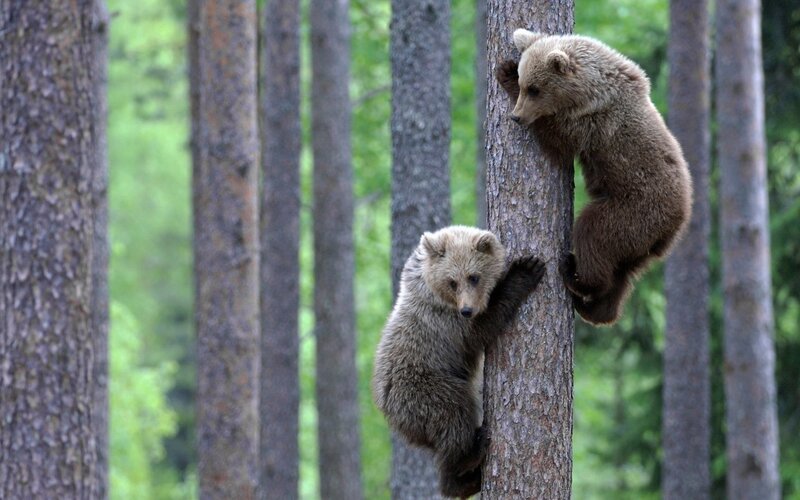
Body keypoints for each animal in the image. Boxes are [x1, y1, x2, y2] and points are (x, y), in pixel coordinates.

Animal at [372, 225, 545, 498]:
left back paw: (467, 479)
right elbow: (483, 328)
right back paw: (470, 455)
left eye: (473, 277)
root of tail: (386, 408)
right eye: (452, 281)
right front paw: (525, 269)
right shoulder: (447, 324)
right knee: (454, 413)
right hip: (424, 388)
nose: (466, 310)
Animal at [496, 29, 692, 326]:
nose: (517, 117)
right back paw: (595, 308)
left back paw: (575, 275)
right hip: (640, 243)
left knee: (593, 234)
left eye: (534, 88)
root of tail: (676, 224)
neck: (590, 90)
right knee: (622, 273)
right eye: (526, 82)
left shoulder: (592, 124)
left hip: (633, 211)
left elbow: (558, 142)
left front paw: (504, 73)